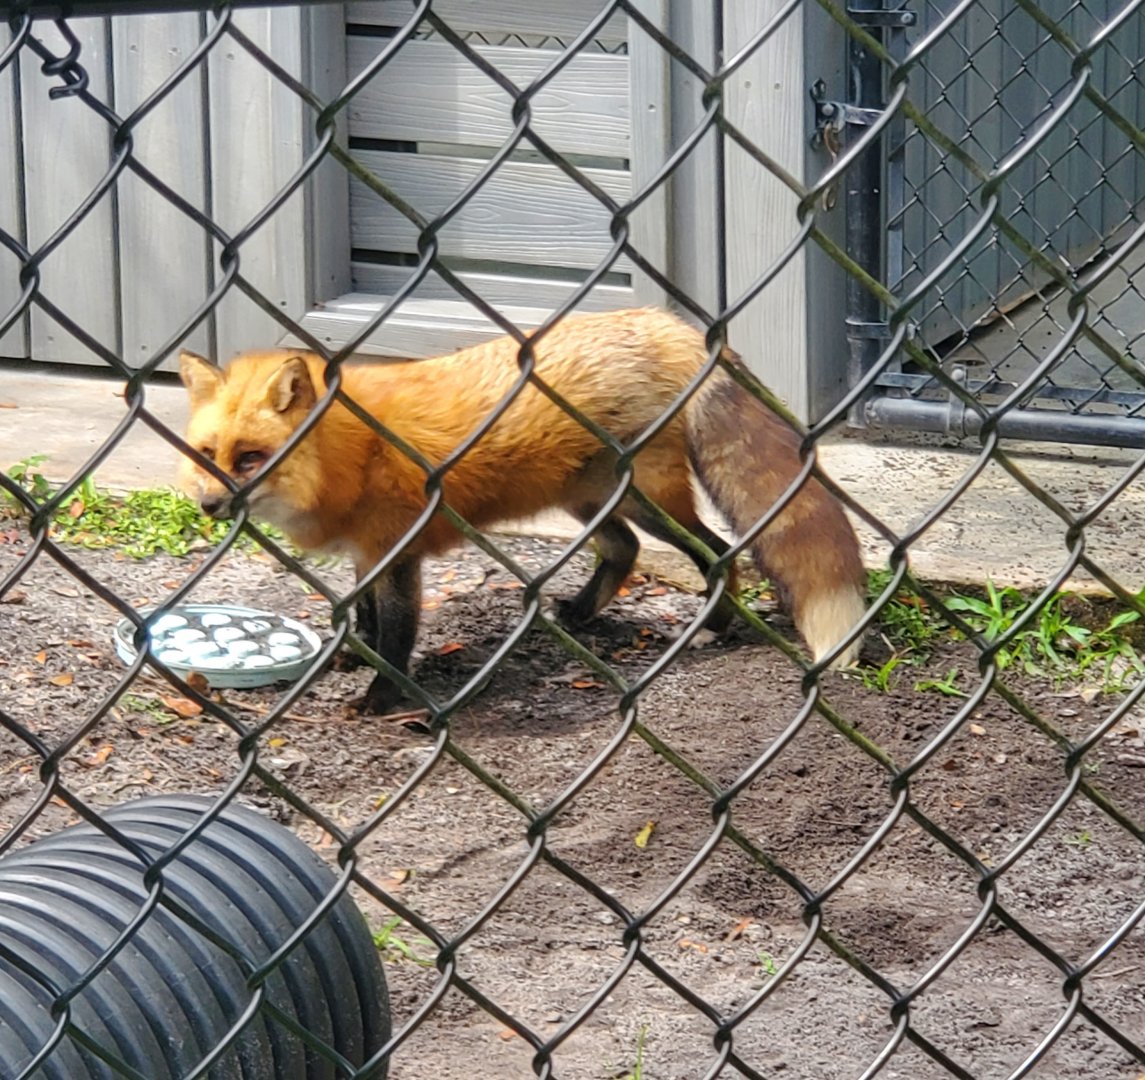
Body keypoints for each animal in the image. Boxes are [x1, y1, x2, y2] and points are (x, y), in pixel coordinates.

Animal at [178, 307, 867, 714]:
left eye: (250, 457)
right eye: (207, 453)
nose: (210, 506)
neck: (351, 452)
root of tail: (661, 320)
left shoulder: (398, 551)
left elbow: (396, 634)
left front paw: (381, 696)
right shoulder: (365, 553)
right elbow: (366, 617)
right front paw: (354, 653)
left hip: (642, 496)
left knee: (716, 552)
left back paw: (717, 625)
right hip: (589, 497)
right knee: (625, 550)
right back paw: (583, 613)